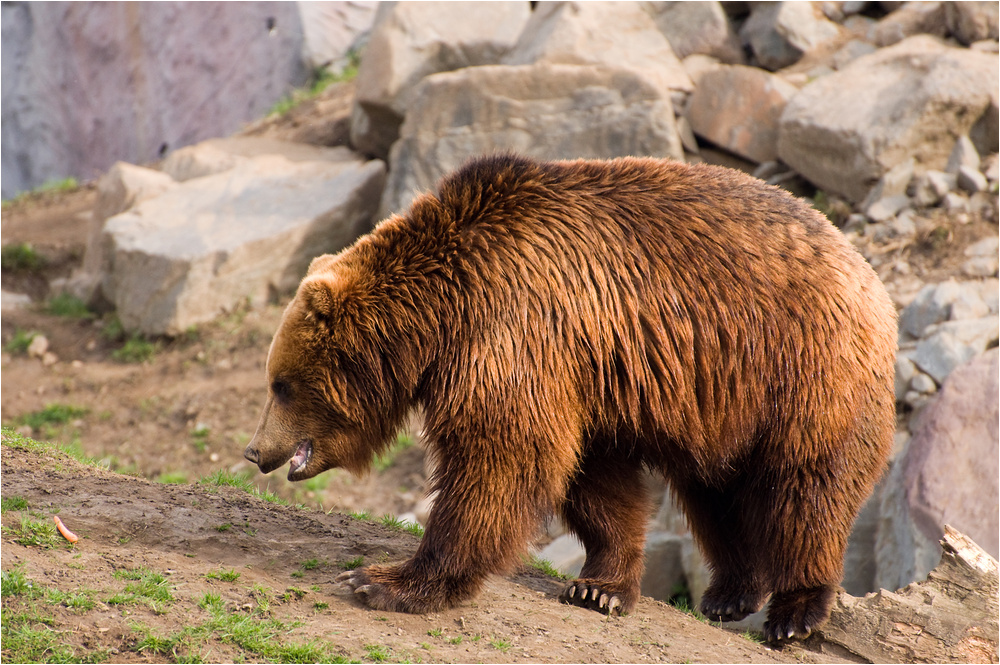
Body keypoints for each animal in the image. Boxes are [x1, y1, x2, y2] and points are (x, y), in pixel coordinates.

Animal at [244, 153, 900, 640]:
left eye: (281, 383)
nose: (255, 450)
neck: (437, 321)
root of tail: (866, 270)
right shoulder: (588, 371)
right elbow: (594, 479)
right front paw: (600, 587)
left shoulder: (515, 329)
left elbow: (501, 458)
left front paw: (384, 580)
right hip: (719, 401)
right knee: (716, 490)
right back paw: (729, 593)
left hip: (800, 369)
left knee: (805, 483)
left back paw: (795, 610)